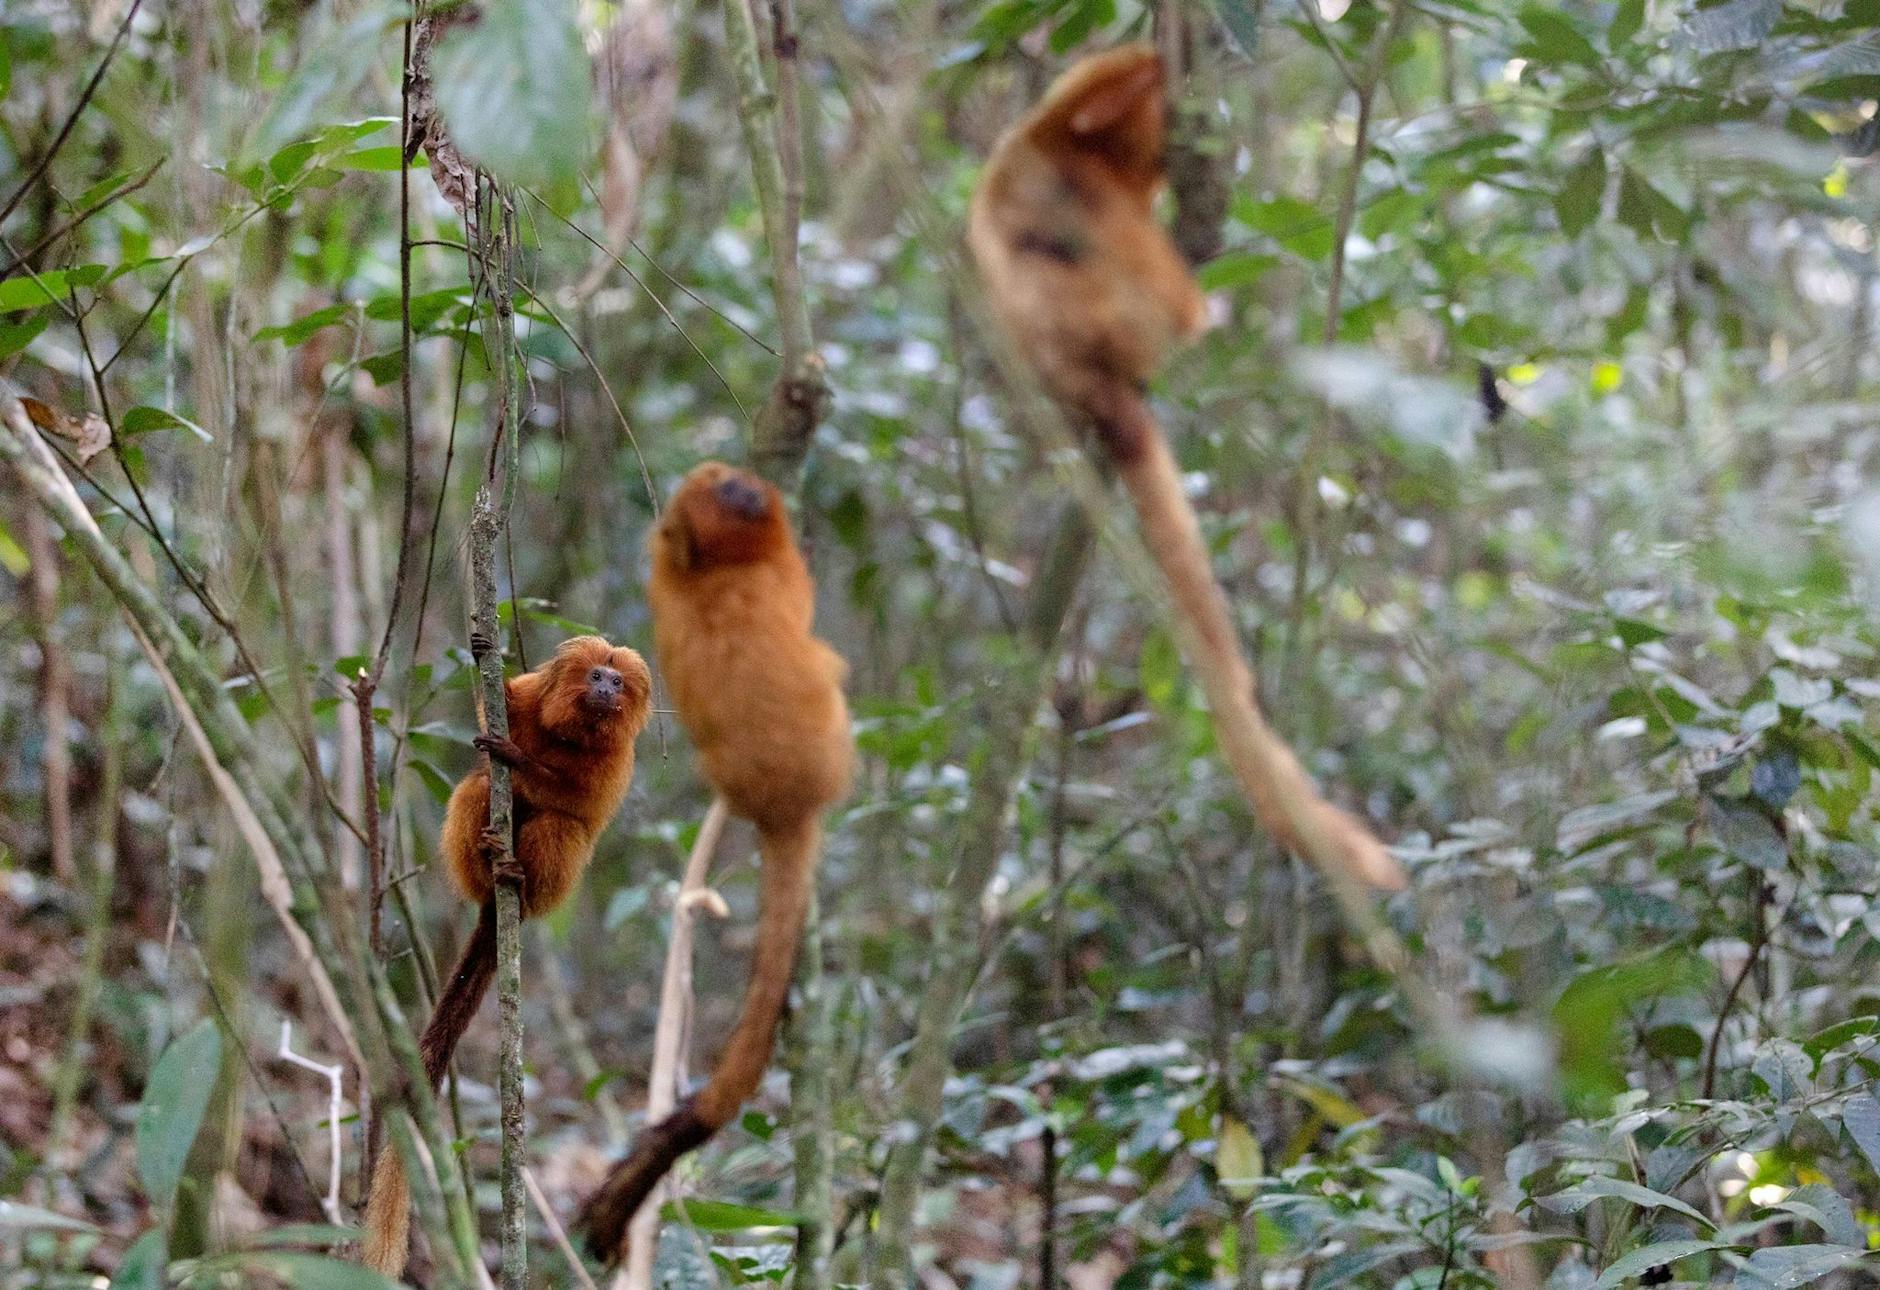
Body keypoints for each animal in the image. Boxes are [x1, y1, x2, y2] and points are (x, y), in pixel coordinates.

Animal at [361, 635, 651, 1279]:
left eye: (618, 683)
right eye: (596, 676)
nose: (605, 690)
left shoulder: (616, 763)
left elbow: (578, 802)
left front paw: (518, 760)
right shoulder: (525, 697)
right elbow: (488, 710)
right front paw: (478, 653)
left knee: (563, 827)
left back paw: (518, 873)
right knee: (474, 789)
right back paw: (489, 850)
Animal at [577, 461, 854, 1261]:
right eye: (728, 484)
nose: (743, 486)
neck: (721, 568)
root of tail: (786, 804)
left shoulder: (666, 569)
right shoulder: (783, 573)